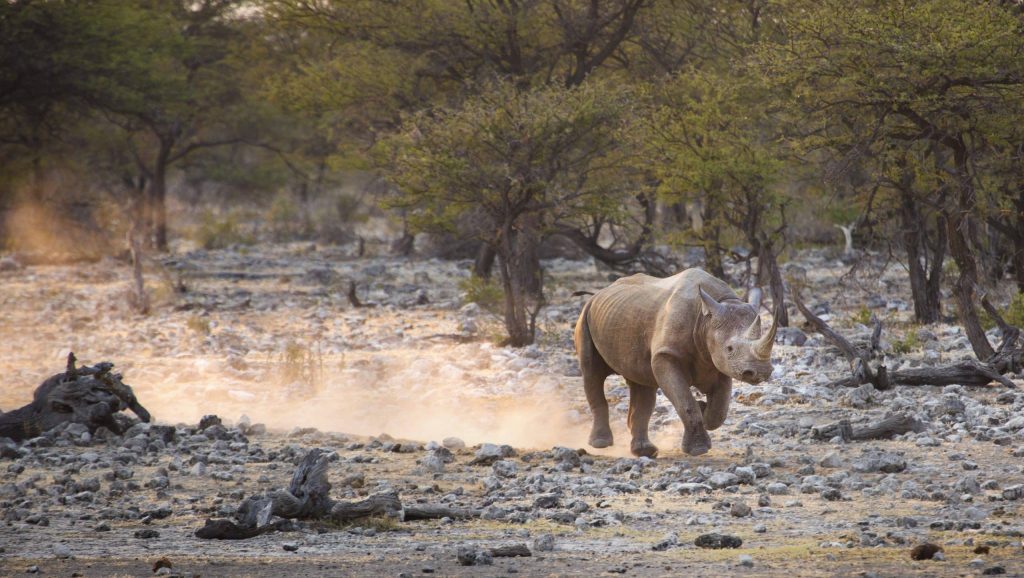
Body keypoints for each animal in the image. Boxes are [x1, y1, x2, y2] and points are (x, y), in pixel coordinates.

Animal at [573, 268, 778, 457]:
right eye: (729, 348)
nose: (760, 372)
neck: (706, 320)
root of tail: (599, 293)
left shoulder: (718, 363)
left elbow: (720, 410)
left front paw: (704, 409)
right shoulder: (666, 355)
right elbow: (685, 402)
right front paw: (698, 449)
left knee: (642, 385)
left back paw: (645, 451)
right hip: (585, 317)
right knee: (592, 373)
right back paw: (601, 444)